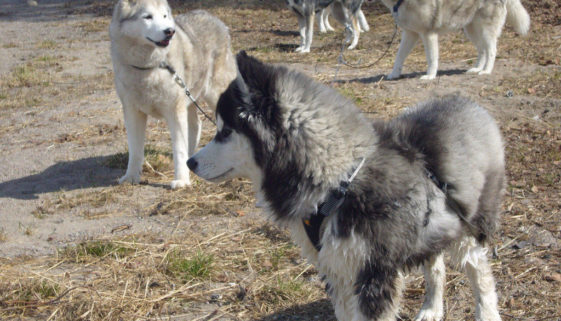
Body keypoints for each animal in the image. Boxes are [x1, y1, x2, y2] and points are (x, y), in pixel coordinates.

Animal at [109, 0, 236, 188]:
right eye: (148, 17)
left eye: (164, 16)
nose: (169, 31)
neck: (149, 67)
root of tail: (215, 19)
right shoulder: (132, 112)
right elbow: (135, 149)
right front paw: (131, 177)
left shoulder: (175, 111)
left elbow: (179, 148)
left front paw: (182, 180)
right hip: (189, 99)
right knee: (196, 125)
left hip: (214, 95)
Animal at [187, 52, 504, 320]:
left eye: (225, 131)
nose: (190, 162)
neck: (338, 181)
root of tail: (468, 104)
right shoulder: (337, 270)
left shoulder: (372, 276)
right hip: (433, 229)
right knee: (435, 264)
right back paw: (430, 309)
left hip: (469, 229)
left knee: (481, 275)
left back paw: (486, 312)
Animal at [382, 0, 532, 79]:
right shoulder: (410, 34)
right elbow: (399, 57)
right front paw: (394, 74)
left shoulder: (428, 33)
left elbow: (432, 59)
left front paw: (430, 76)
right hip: (471, 30)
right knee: (482, 50)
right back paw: (476, 69)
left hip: (486, 31)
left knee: (492, 50)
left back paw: (486, 71)